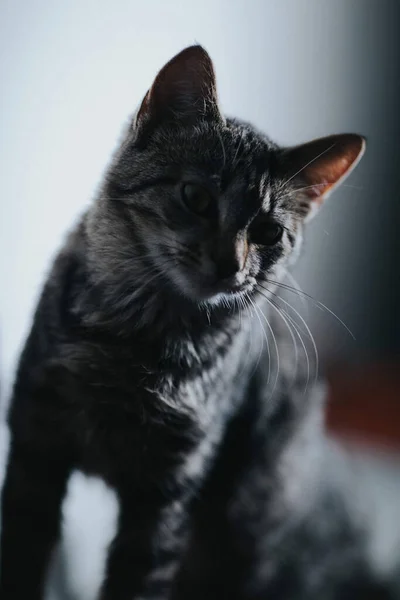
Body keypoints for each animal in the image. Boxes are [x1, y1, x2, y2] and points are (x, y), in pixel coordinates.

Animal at [1, 43, 396, 600]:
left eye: (268, 232)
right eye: (197, 198)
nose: (231, 265)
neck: (135, 345)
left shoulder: (167, 492)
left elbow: (137, 582)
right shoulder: (35, 445)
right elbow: (20, 561)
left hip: (246, 521)